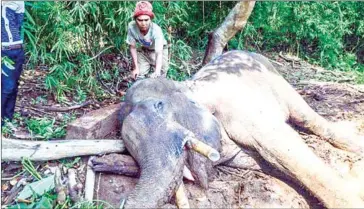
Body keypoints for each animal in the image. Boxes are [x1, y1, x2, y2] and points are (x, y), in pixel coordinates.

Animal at [119, 49, 364, 208]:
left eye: (159, 106)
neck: (189, 85)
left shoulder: (242, 112)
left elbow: (288, 151)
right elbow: (272, 164)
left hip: (276, 78)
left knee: (307, 118)